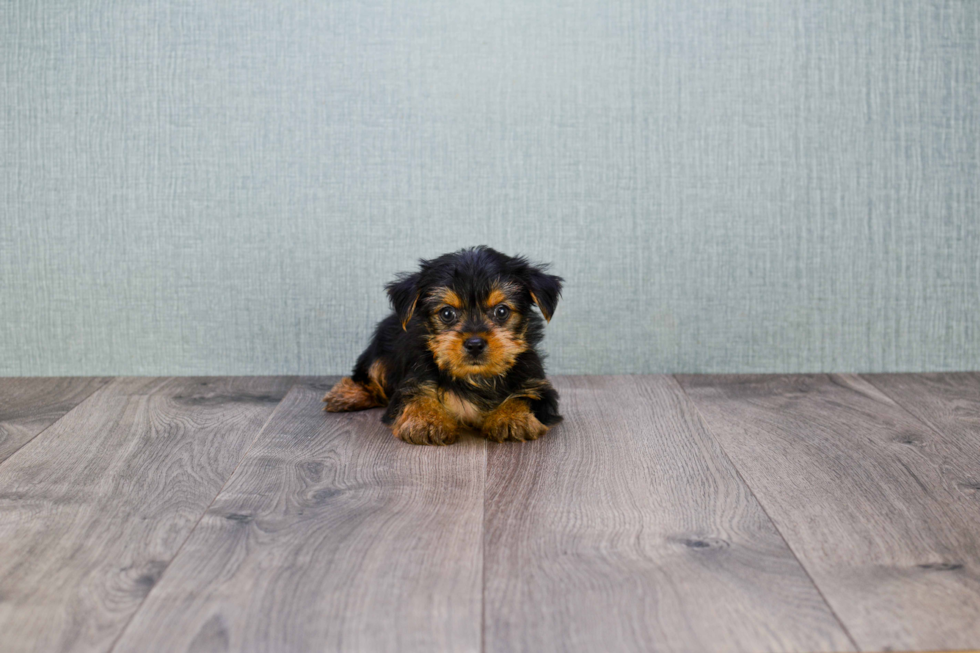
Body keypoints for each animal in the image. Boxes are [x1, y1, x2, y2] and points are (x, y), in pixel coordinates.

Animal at [326, 244, 564, 444]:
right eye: (447, 313)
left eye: (502, 311)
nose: (475, 343)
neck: (476, 378)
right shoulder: (414, 380)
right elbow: (416, 396)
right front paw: (427, 422)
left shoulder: (536, 383)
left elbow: (527, 396)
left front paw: (511, 417)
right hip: (382, 350)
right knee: (371, 374)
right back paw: (347, 395)